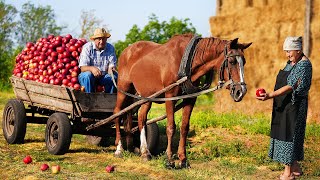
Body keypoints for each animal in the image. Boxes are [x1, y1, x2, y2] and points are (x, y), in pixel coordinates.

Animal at [114, 33, 251, 169]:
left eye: (244, 62)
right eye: (232, 61)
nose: (241, 91)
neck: (186, 61)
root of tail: (127, 50)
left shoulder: (190, 98)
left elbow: (184, 127)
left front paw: (183, 159)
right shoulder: (170, 96)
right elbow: (171, 127)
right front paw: (169, 159)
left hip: (146, 96)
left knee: (141, 118)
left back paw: (143, 152)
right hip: (123, 89)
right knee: (117, 112)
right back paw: (119, 149)